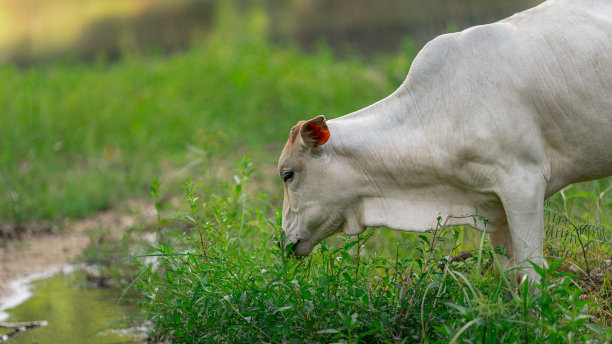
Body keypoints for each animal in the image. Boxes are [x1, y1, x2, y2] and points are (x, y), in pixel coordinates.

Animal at [278, 0, 612, 280]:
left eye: (287, 174)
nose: (283, 242)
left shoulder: (524, 184)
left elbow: (531, 276)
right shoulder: (495, 208)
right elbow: (510, 276)